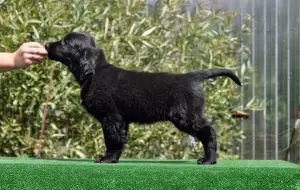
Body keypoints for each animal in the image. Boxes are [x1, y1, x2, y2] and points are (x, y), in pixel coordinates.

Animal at [45, 31, 241, 164]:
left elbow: (112, 140)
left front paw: (106, 158)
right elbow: (119, 140)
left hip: (186, 116)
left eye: (65, 41)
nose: (46, 45)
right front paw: (113, 158)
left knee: (209, 132)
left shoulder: (111, 117)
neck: (94, 73)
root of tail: (193, 76)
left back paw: (209, 159)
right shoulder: (121, 120)